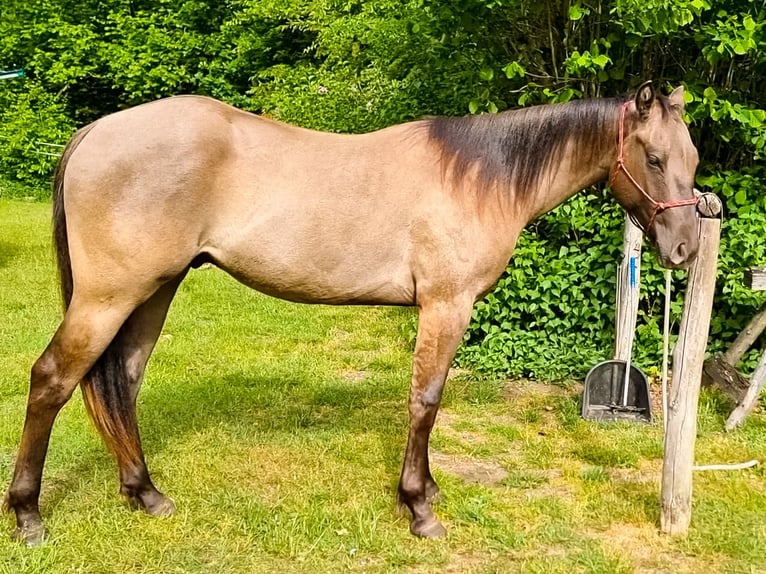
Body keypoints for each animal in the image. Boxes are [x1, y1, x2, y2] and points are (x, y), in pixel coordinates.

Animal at [4, 82, 700, 545]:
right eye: (654, 159)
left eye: (690, 160)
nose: (684, 249)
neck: (479, 178)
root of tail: (97, 132)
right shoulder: (445, 306)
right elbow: (425, 401)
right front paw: (420, 509)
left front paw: (427, 493)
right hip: (109, 296)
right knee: (53, 380)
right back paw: (29, 516)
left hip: (153, 291)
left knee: (120, 381)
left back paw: (145, 494)